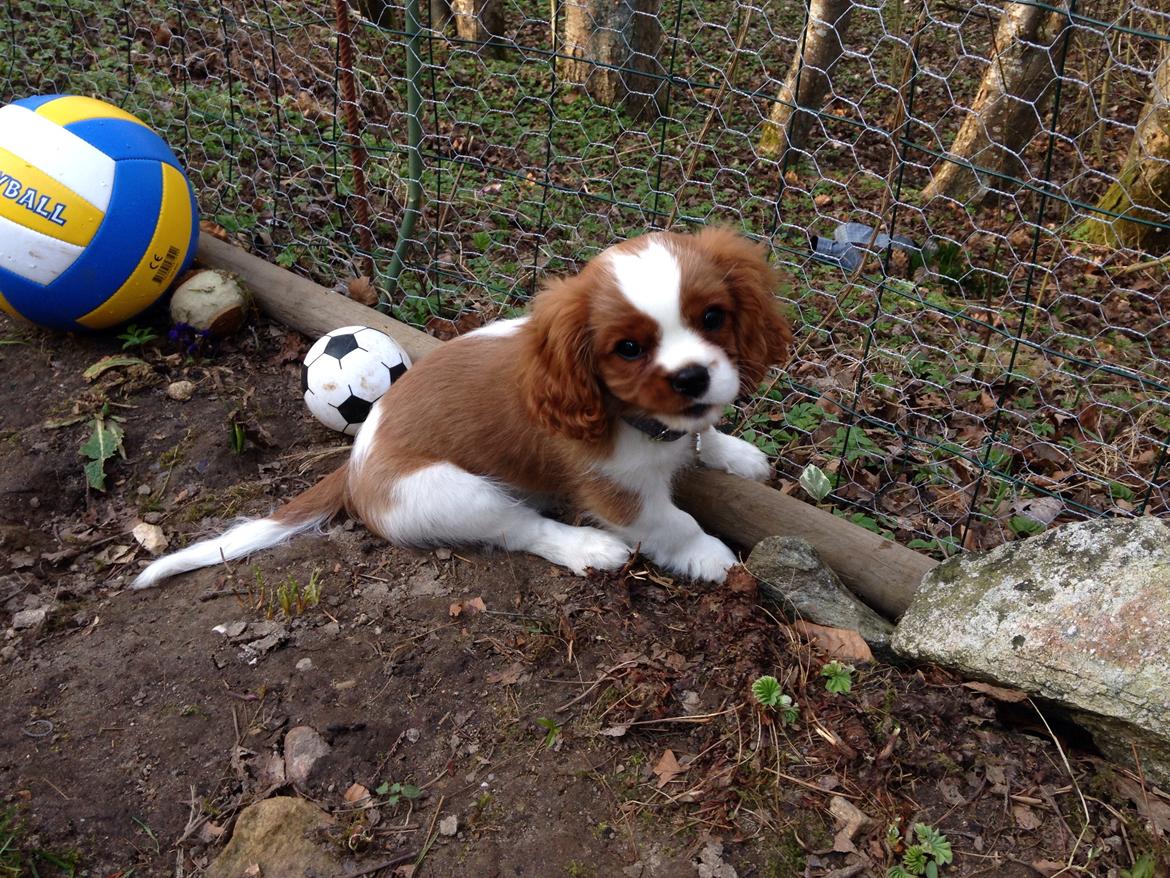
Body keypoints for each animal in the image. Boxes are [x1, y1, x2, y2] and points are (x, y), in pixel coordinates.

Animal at [134, 227, 795, 592]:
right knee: (518, 528)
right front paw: (709, 556)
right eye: (628, 350)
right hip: (449, 492)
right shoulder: (616, 492)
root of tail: (354, 465)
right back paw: (586, 550)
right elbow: (670, 522)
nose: (690, 376)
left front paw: (733, 452)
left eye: (713, 317)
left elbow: (706, 434)